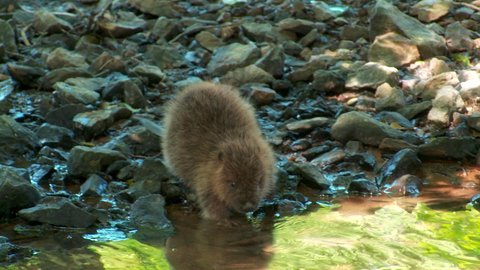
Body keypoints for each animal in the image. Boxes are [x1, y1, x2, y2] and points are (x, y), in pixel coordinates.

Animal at [161, 82, 276, 221]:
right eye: (232, 184)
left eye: (259, 181)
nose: (248, 206)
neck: (235, 141)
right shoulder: (204, 176)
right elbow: (211, 202)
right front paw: (227, 221)